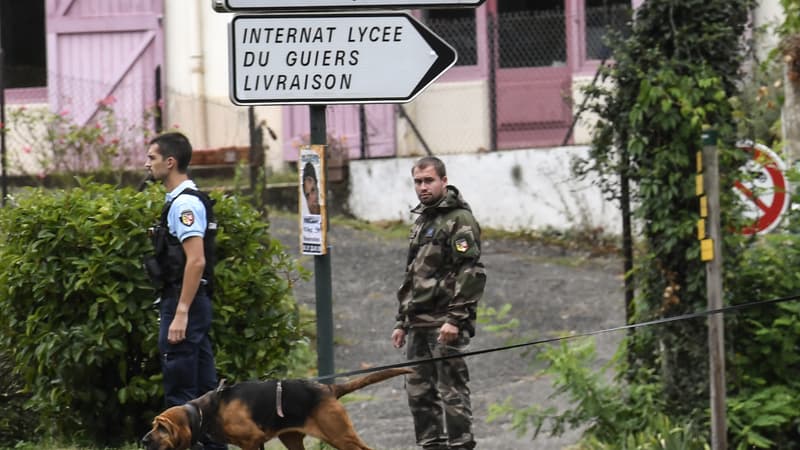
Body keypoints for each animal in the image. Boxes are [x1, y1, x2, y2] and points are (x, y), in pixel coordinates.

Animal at [141, 370, 412, 450]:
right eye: (154, 425)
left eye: (161, 428)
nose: (143, 441)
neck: (205, 411)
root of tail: (328, 388)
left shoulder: (252, 441)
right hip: (292, 438)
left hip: (340, 435)